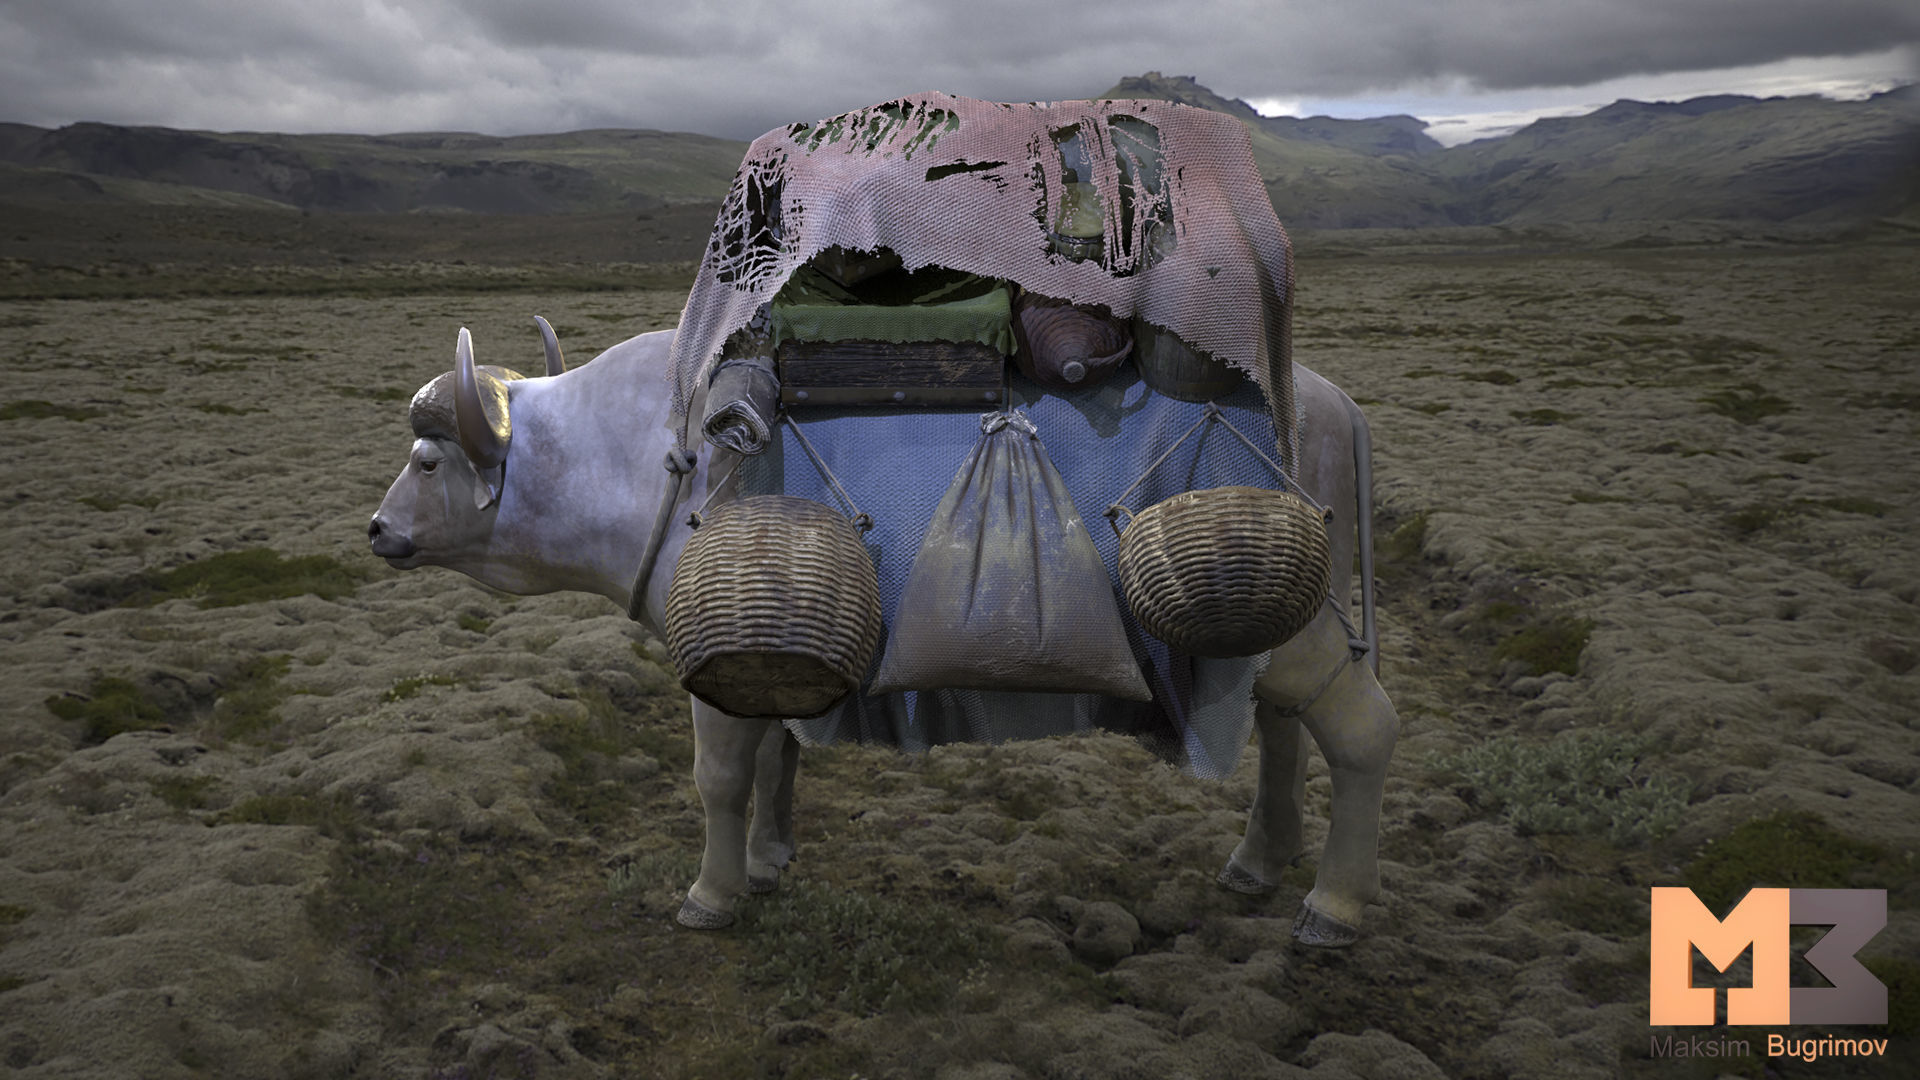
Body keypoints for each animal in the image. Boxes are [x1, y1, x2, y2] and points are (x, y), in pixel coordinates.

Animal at [369, 320, 1400, 946]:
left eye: (425, 460)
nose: (377, 531)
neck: (639, 456)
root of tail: (1339, 406)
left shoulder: (711, 676)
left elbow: (721, 778)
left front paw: (711, 895)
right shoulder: (760, 662)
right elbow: (777, 754)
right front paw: (770, 860)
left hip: (1305, 638)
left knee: (1358, 734)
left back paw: (1335, 906)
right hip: (1266, 644)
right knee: (1280, 731)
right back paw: (1256, 864)